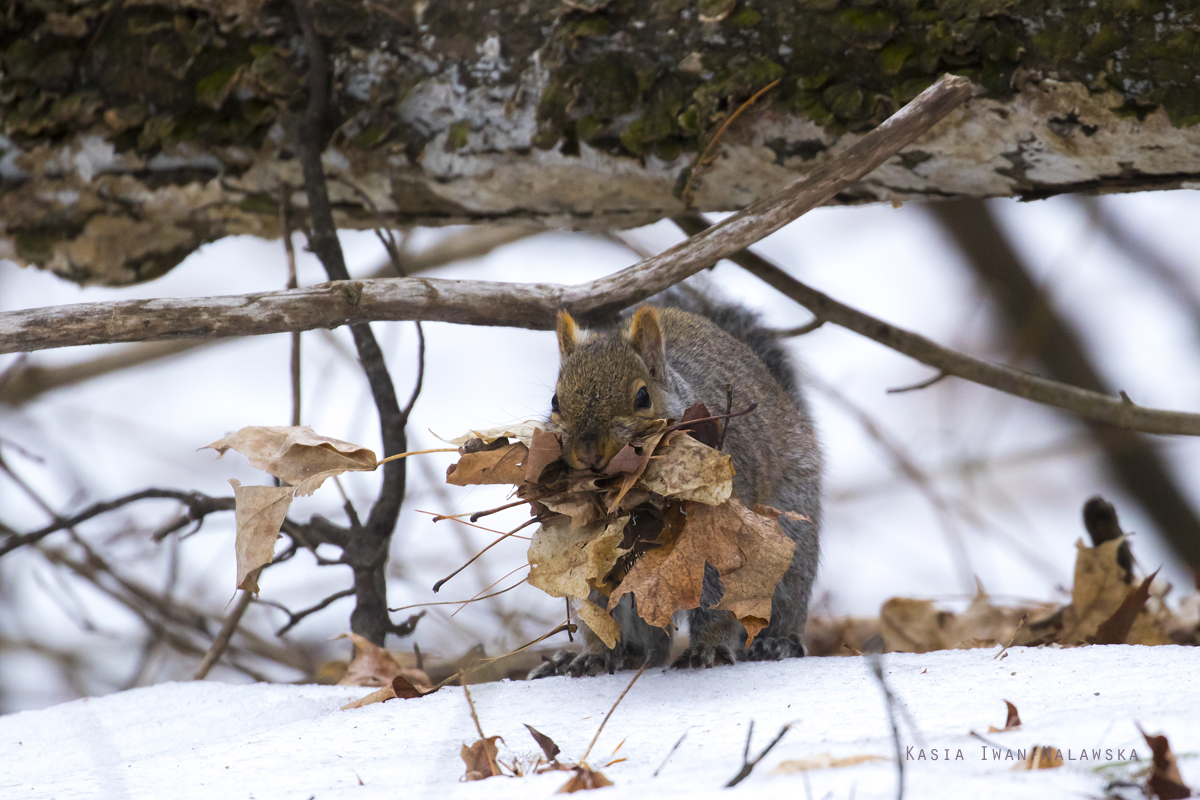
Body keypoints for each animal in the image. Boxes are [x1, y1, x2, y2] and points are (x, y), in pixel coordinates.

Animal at [530, 284, 820, 681]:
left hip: (790, 546)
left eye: (642, 397)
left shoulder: (718, 537)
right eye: (555, 401)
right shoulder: (586, 550)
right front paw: (594, 655)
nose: (589, 452)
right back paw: (618, 656)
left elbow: (718, 600)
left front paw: (708, 649)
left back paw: (777, 642)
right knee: (649, 643)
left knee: (782, 603)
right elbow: (597, 610)